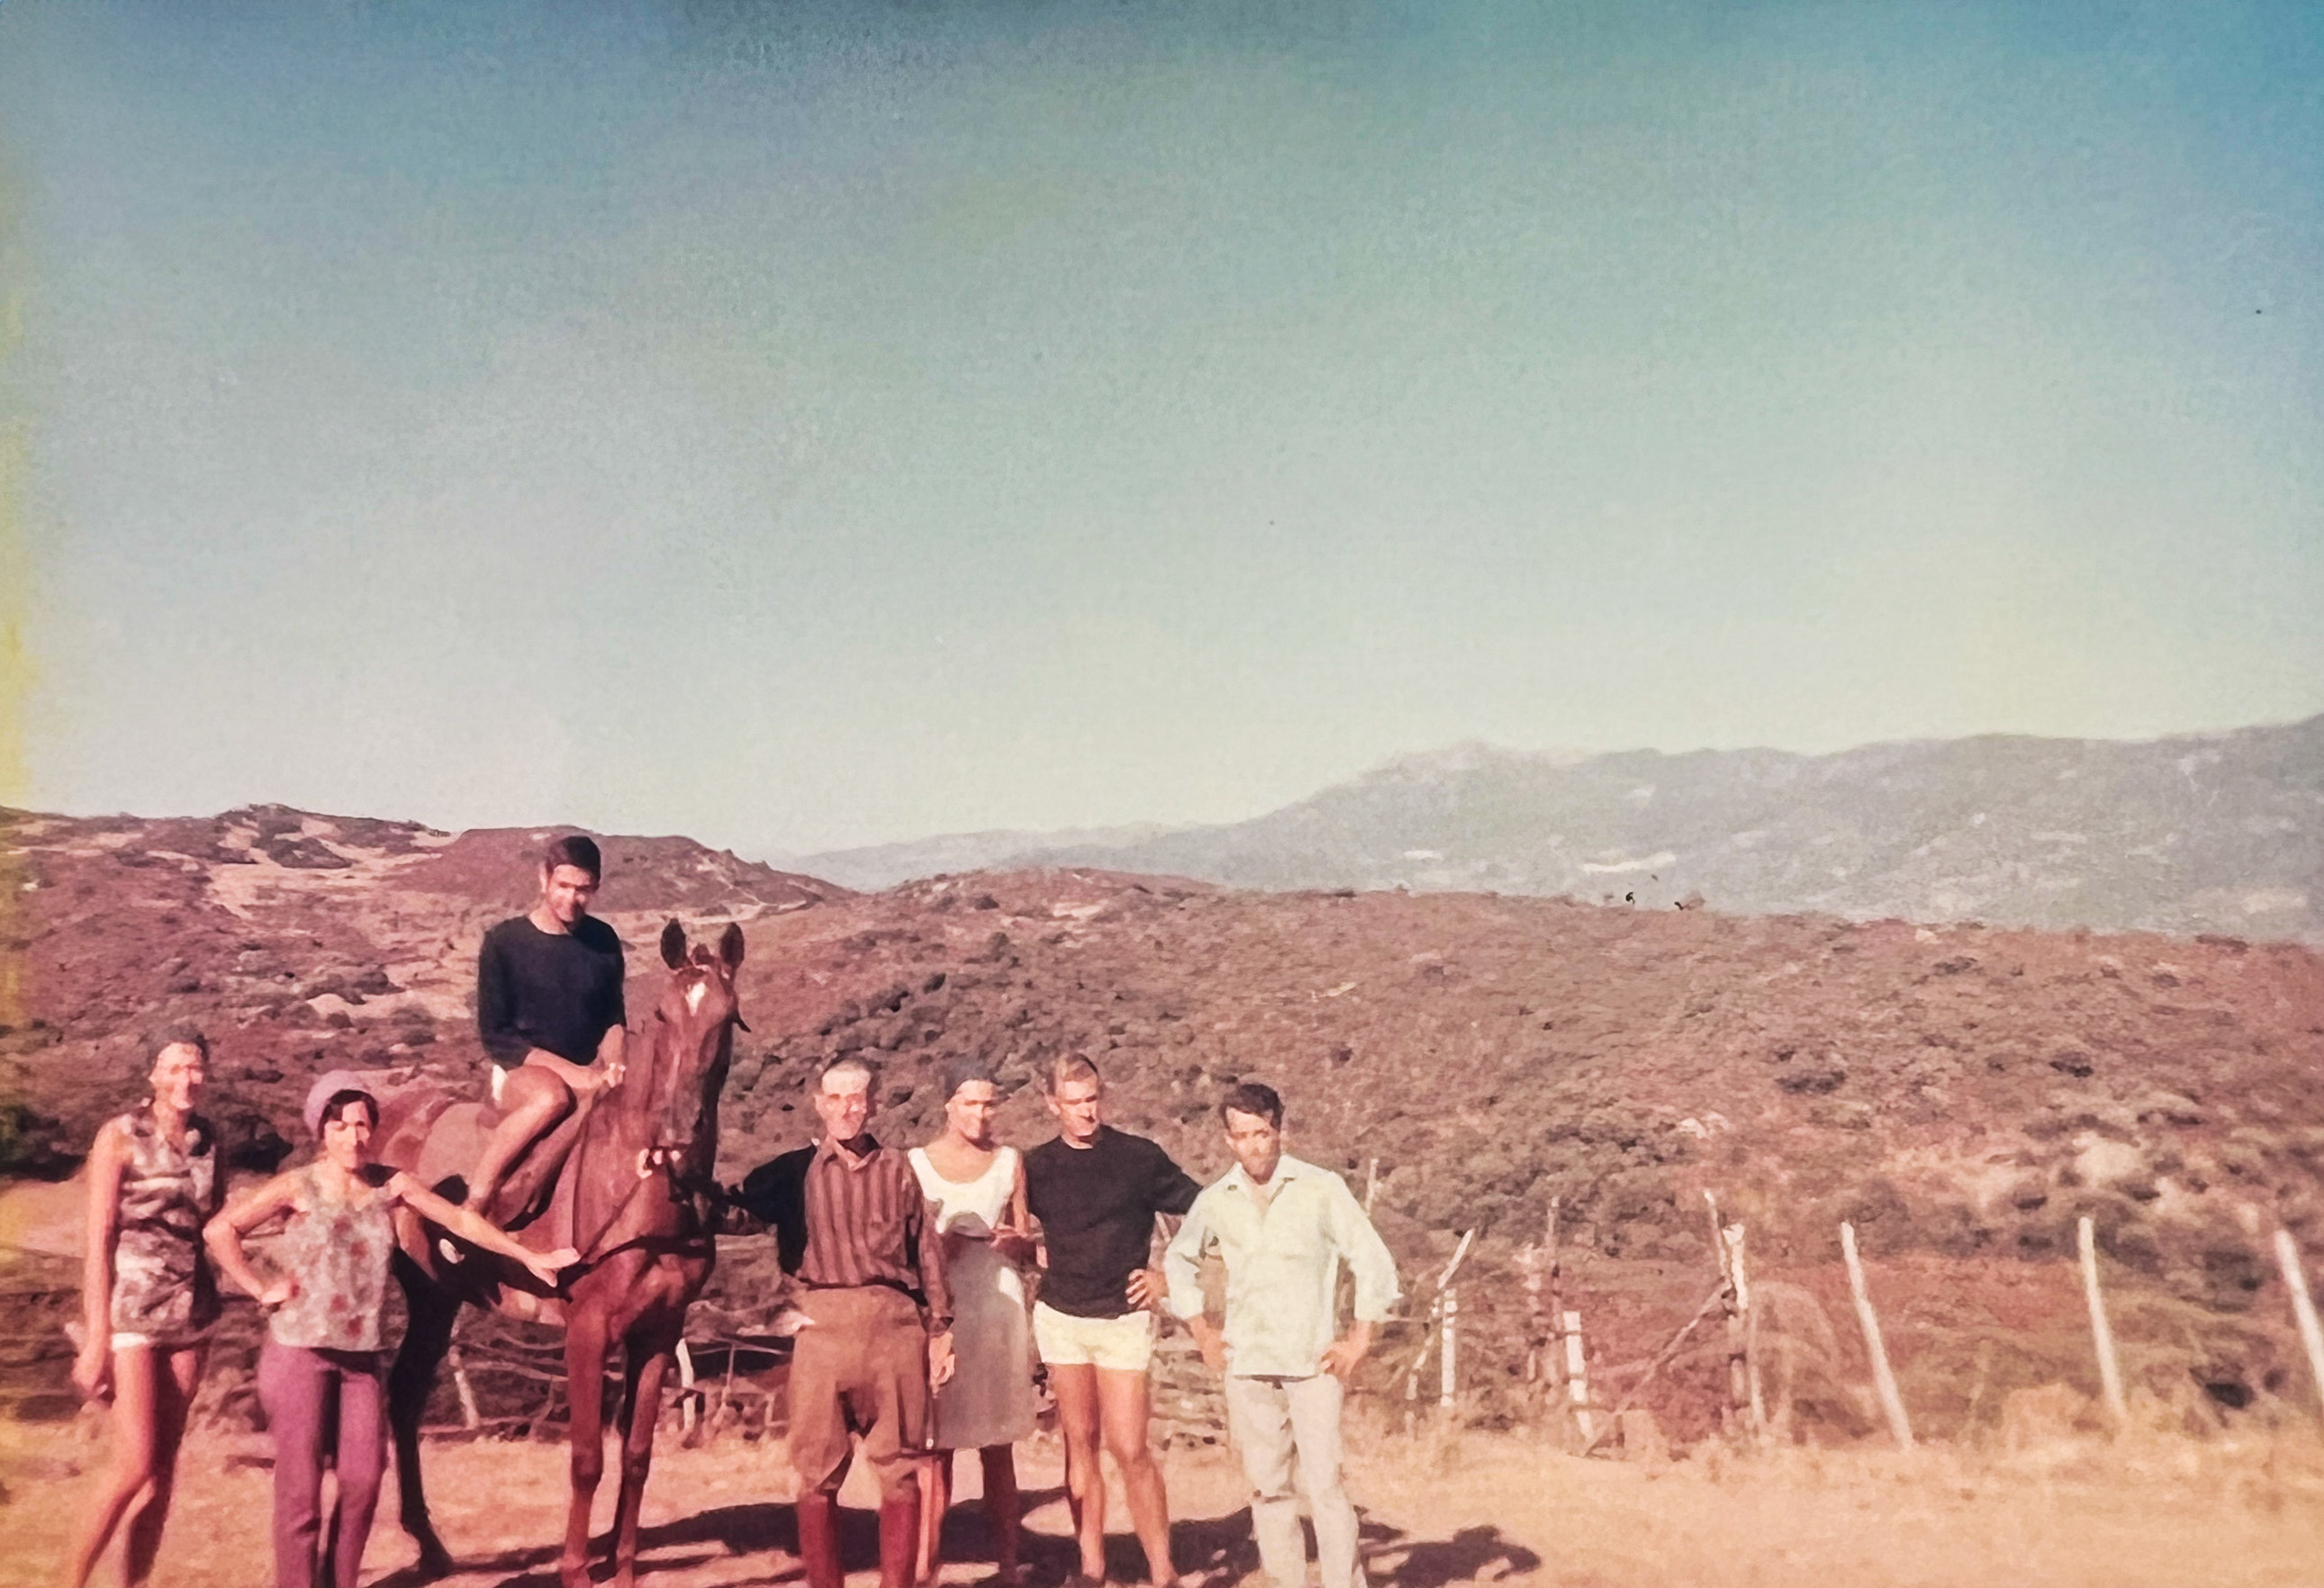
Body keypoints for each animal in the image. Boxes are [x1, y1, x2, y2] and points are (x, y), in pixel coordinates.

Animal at [378, 920, 743, 1588]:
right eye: (663, 1013)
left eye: (727, 1018)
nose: (678, 1133)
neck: (641, 1189)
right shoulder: (588, 1331)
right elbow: (586, 1459)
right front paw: (576, 1569)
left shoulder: (658, 1331)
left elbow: (636, 1454)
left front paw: (622, 1568)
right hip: (428, 1293)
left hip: (438, 1302)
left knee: (407, 1394)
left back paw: (431, 1546)